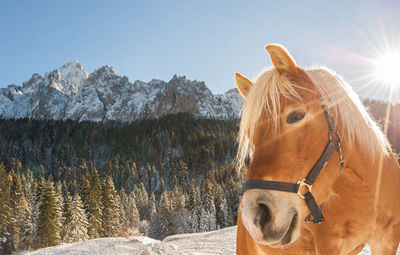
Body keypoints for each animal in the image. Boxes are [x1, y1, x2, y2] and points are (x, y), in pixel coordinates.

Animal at [234, 44, 400, 255]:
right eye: (249, 133)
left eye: (296, 116)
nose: (255, 216)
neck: (367, 193)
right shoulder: (328, 245)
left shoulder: (387, 240)